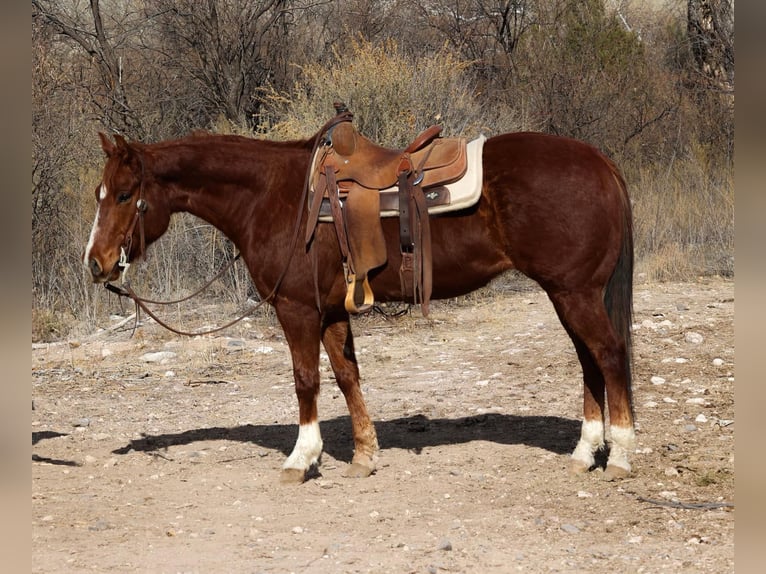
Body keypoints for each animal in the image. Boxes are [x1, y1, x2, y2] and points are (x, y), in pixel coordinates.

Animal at [83, 121, 636, 483]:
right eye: (99, 192)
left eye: (125, 193)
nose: (96, 263)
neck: (275, 197)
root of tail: (601, 161)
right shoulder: (330, 311)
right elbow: (347, 377)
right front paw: (365, 455)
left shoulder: (297, 308)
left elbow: (306, 380)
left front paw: (301, 458)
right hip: (568, 295)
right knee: (589, 361)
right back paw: (586, 452)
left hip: (574, 293)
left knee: (609, 357)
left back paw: (622, 454)